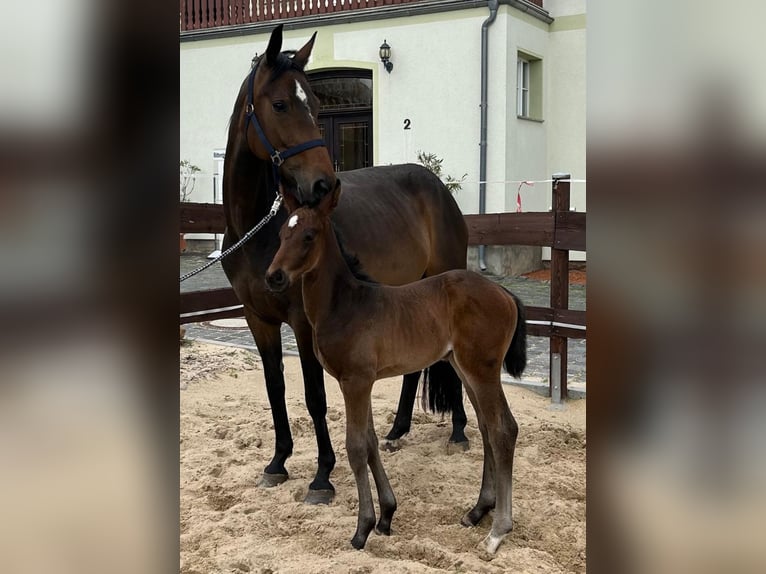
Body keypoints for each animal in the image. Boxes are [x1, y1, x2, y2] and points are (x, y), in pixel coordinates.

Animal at [266, 187, 528, 556]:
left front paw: (362, 529)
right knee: (488, 428)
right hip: (464, 369)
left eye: (309, 235)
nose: (273, 276)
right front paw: (386, 516)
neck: (345, 305)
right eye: (280, 234)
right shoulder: (361, 382)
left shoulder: (355, 381)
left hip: (482, 370)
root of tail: (504, 293)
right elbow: (372, 441)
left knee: (504, 429)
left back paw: (497, 532)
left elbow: (356, 447)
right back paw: (477, 511)